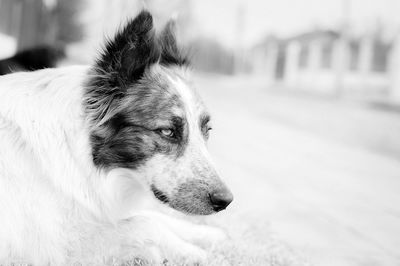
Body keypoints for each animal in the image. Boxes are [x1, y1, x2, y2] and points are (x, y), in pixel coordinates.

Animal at [0, 9, 234, 264]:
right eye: (167, 131)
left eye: (206, 130)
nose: (225, 201)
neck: (79, 151)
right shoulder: (57, 247)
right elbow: (146, 222)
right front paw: (190, 252)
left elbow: (153, 217)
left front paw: (206, 233)